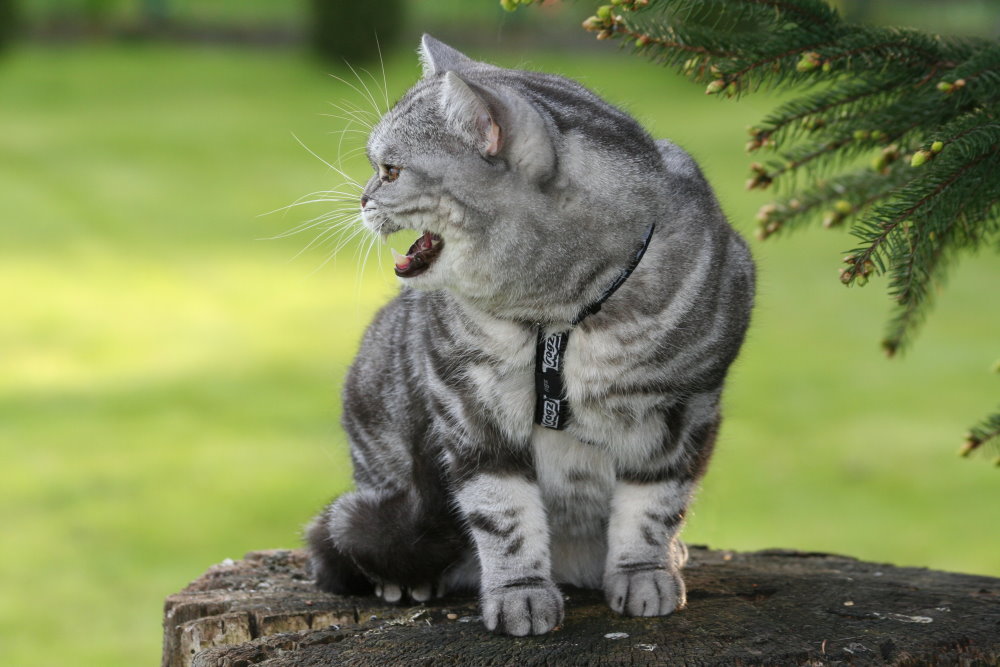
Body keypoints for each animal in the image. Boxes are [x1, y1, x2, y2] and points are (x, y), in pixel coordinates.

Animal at [308, 32, 752, 636]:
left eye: (391, 171)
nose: (362, 197)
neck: (559, 314)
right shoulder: (469, 408)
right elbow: (504, 515)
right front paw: (520, 595)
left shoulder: (686, 410)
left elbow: (653, 507)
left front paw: (644, 574)